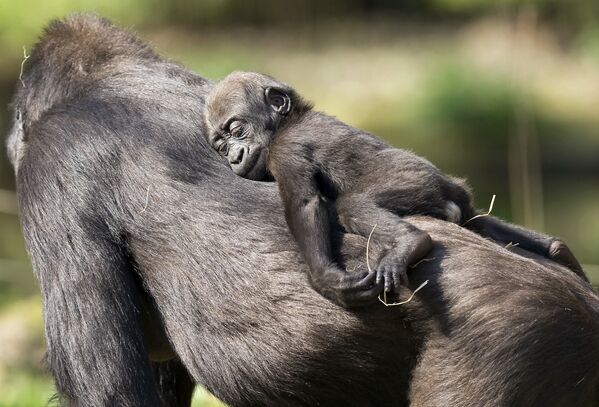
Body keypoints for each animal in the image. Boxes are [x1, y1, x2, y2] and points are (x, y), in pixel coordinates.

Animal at [206, 71, 584, 308]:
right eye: (220, 146)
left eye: (237, 130)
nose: (234, 157)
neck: (289, 121)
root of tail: (451, 187)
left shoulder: (287, 150)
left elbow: (305, 203)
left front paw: (326, 279)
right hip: (459, 201)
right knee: (481, 222)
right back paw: (557, 250)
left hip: (415, 181)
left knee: (352, 205)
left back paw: (411, 243)